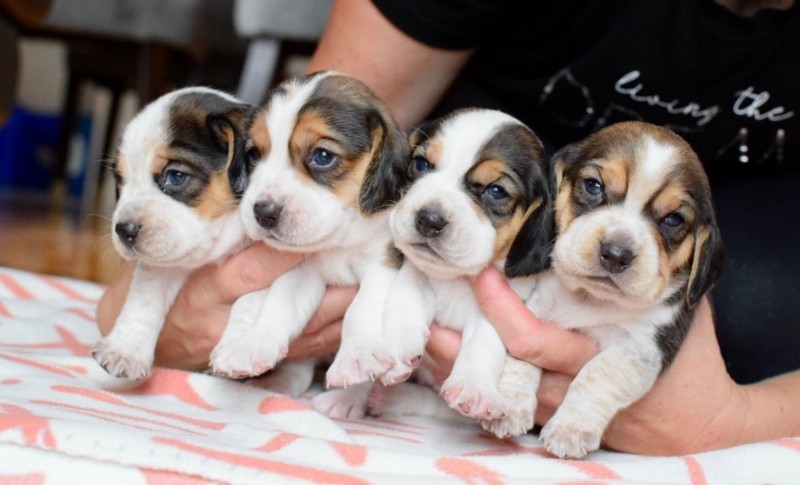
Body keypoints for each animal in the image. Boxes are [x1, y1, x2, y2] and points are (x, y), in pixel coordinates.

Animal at [93, 87, 256, 378]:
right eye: (121, 181)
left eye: (176, 176)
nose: (124, 230)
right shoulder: (161, 265)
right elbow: (143, 302)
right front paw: (124, 350)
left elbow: (253, 301)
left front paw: (239, 350)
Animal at [209, 70, 410, 398]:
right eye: (254, 154)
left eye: (323, 155)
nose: (263, 211)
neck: (338, 242)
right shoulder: (301, 273)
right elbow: (278, 307)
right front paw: (251, 346)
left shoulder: (383, 262)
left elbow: (362, 308)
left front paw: (357, 356)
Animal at [524, 121, 724, 458]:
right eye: (593, 186)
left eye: (673, 219)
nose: (616, 254)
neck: (592, 300)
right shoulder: (537, 307)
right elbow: (517, 355)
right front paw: (507, 402)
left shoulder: (643, 349)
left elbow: (597, 374)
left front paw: (570, 429)